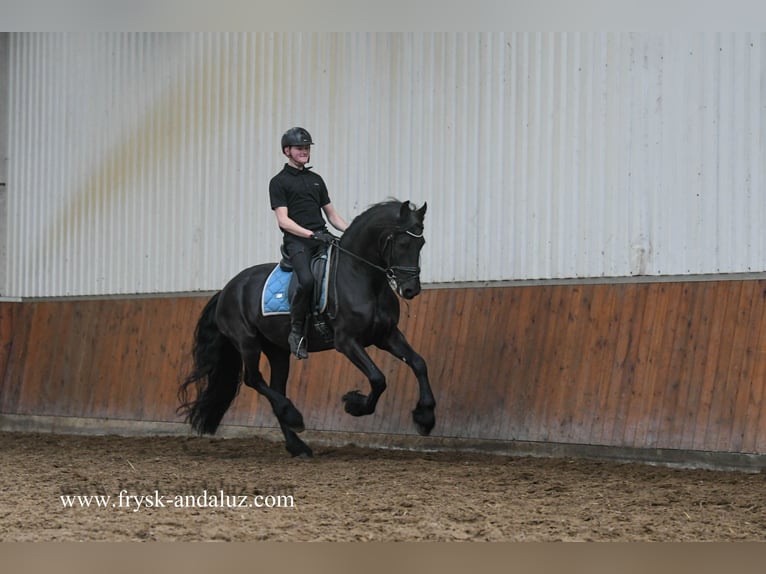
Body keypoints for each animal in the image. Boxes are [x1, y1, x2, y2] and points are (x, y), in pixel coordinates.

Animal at [176, 200, 436, 456]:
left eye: (421, 243)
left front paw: (425, 418)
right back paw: (294, 418)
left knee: (276, 388)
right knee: (254, 379)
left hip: (277, 350)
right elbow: (378, 378)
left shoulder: (387, 335)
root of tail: (227, 289)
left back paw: (297, 444)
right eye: (403, 243)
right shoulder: (347, 342)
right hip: (247, 342)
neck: (361, 277)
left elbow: (419, 363)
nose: (411, 290)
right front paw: (354, 405)